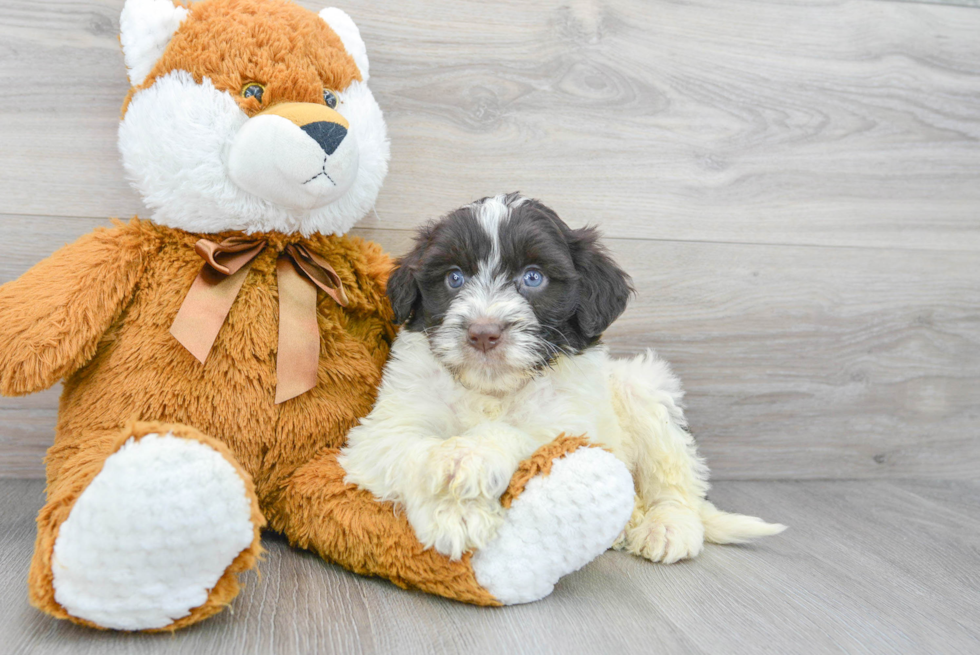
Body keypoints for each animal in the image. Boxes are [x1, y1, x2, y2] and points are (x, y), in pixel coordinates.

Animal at [340, 192, 784, 560]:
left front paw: (471, 456)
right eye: (454, 278)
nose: (483, 333)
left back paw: (667, 526)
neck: (493, 390)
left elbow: (514, 434)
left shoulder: (567, 425)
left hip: (641, 388)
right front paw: (452, 512)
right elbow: (410, 450)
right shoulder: (382, 428)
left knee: (677, 481)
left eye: (533, 277)